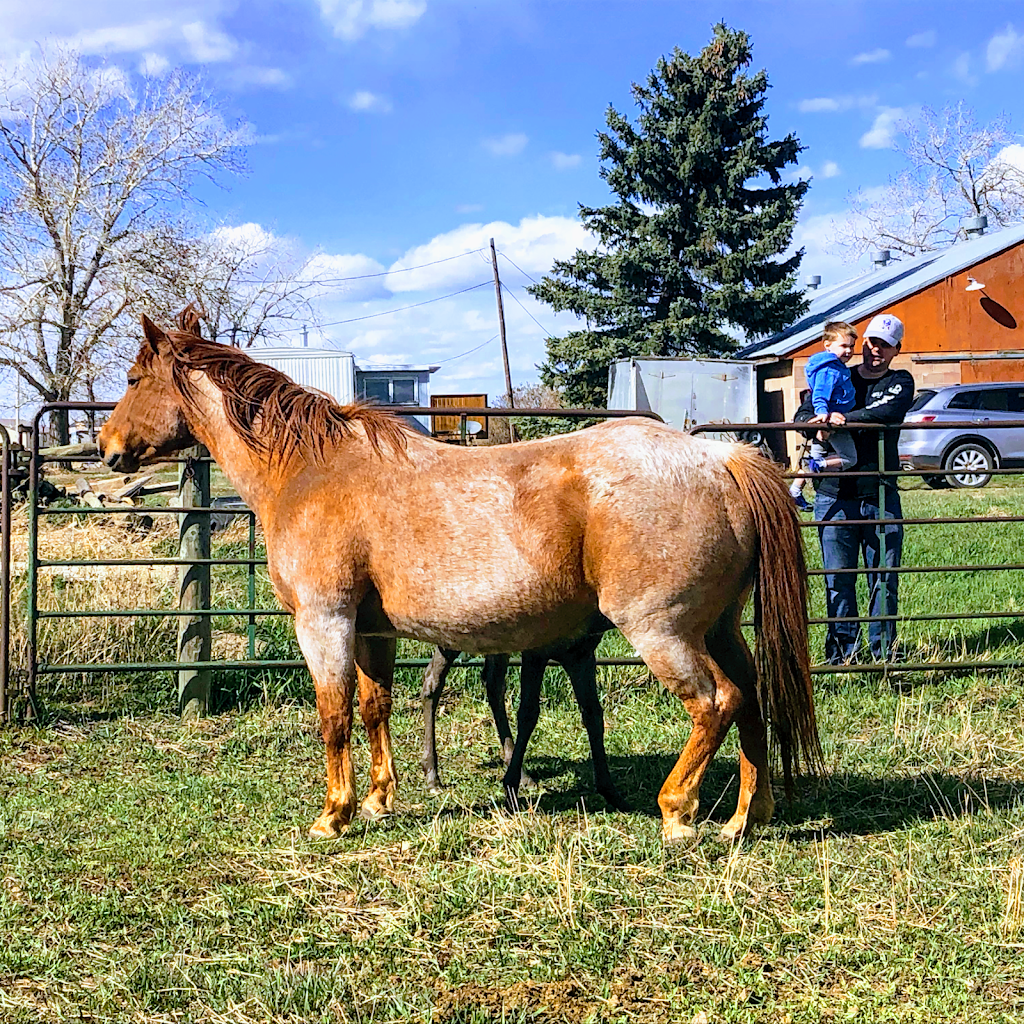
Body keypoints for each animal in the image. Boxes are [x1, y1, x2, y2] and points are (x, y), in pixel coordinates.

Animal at [99, 315, 819, 843]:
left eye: (133, 377)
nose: (107, 448)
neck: (310, 471)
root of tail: (718, 457)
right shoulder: (374, 629)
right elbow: (375, 705)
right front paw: (381, 800)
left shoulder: (324, 620)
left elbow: (333, 714)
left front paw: (335, 814)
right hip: (720, 627)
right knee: (752, 699)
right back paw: (744, 819)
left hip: (661, 631)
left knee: (715, 702)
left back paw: (678, 812)